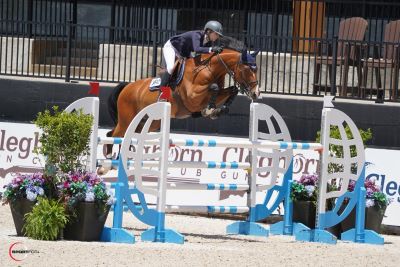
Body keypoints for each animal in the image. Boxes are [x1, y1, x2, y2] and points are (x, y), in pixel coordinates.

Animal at [99, 48, 260, 174]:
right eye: (247, 69)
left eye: (256, 69)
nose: (256, 94)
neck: (209, 69)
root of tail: (127, 87)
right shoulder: (193, 97)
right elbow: (214, 88)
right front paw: (210, 110)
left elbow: (231, 90)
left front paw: (219, 110)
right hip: (127, 119)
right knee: (113, 135)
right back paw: (105, 165)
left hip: (148, 123)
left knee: (122, 136)